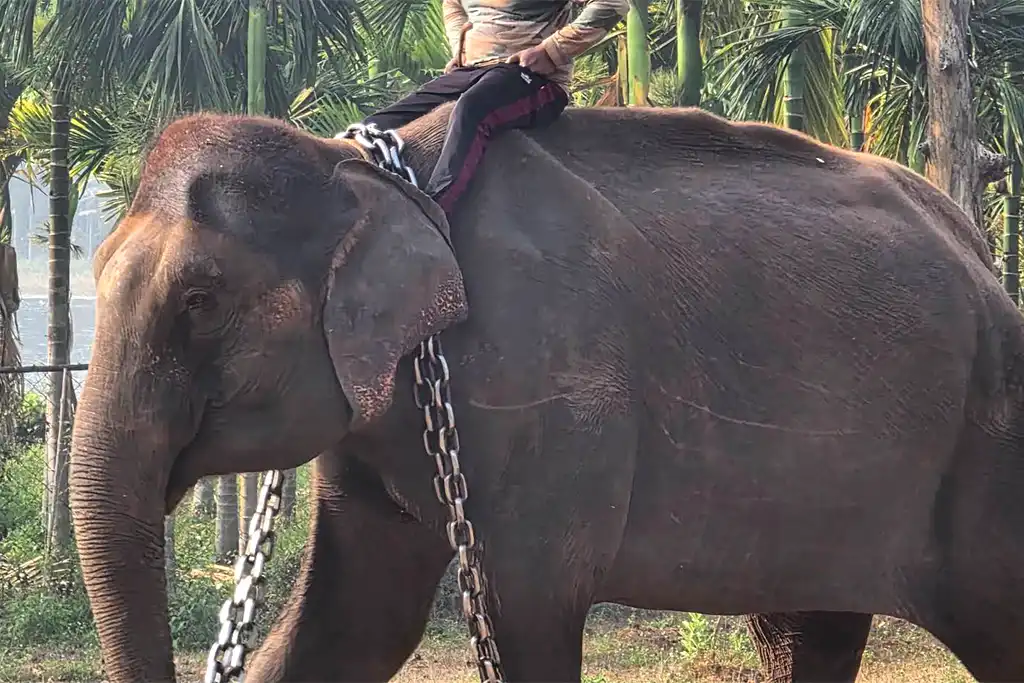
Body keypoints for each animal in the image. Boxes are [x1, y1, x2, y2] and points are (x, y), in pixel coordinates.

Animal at [68, 100, 1023, 683]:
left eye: (198, 300)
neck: (372, 171)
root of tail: (980, 253)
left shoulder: (544, 392)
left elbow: (520, 610)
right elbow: (356, 621)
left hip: (987, 441)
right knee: (809, 629)